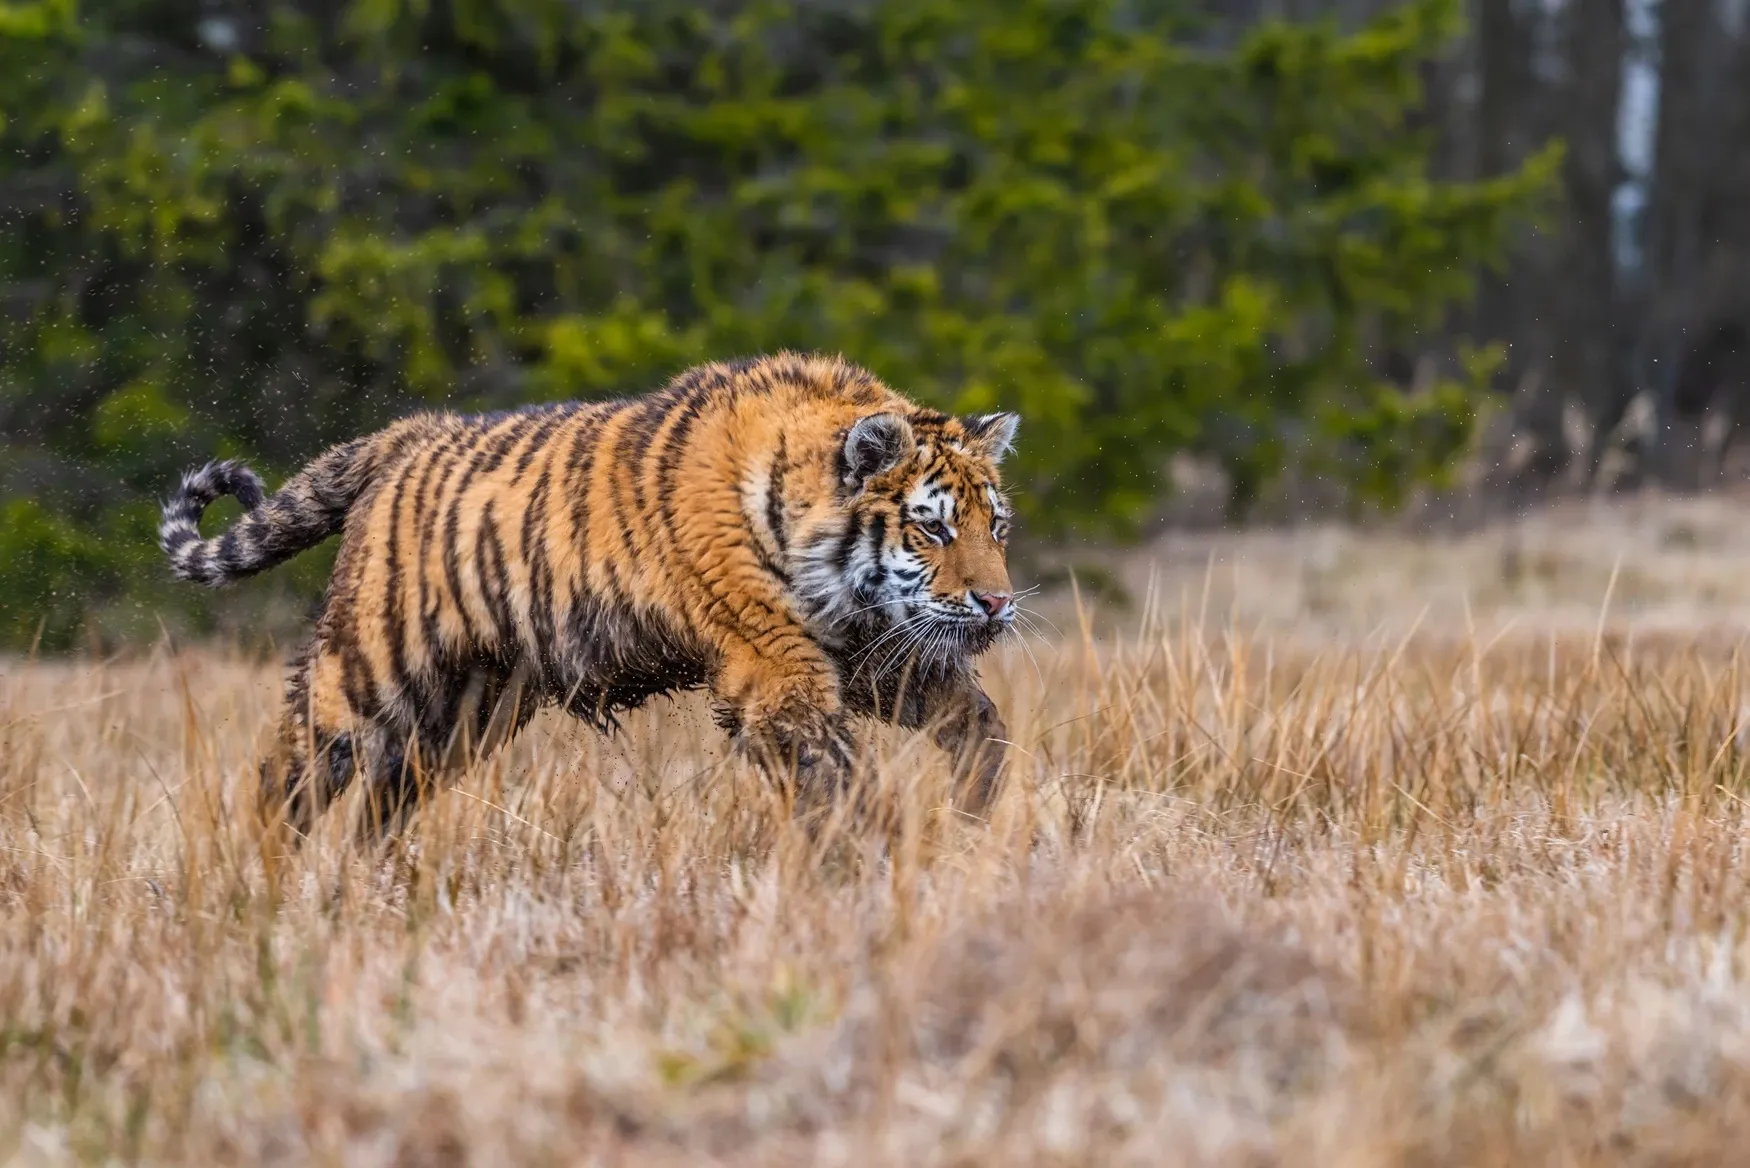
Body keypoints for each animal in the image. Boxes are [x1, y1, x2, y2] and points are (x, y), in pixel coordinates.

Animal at [158, 352, 1022, 835]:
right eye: (933, 528)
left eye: (997, 526)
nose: (997, 605)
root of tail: (406, 432)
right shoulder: (777, 671)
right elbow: (839, 776)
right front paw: (883, 852)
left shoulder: (881, 655)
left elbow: (981, 726)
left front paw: (975, 819)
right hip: (363, 672)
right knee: (284, 783)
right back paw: (257, 899)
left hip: (466, 713)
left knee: (380, 808)